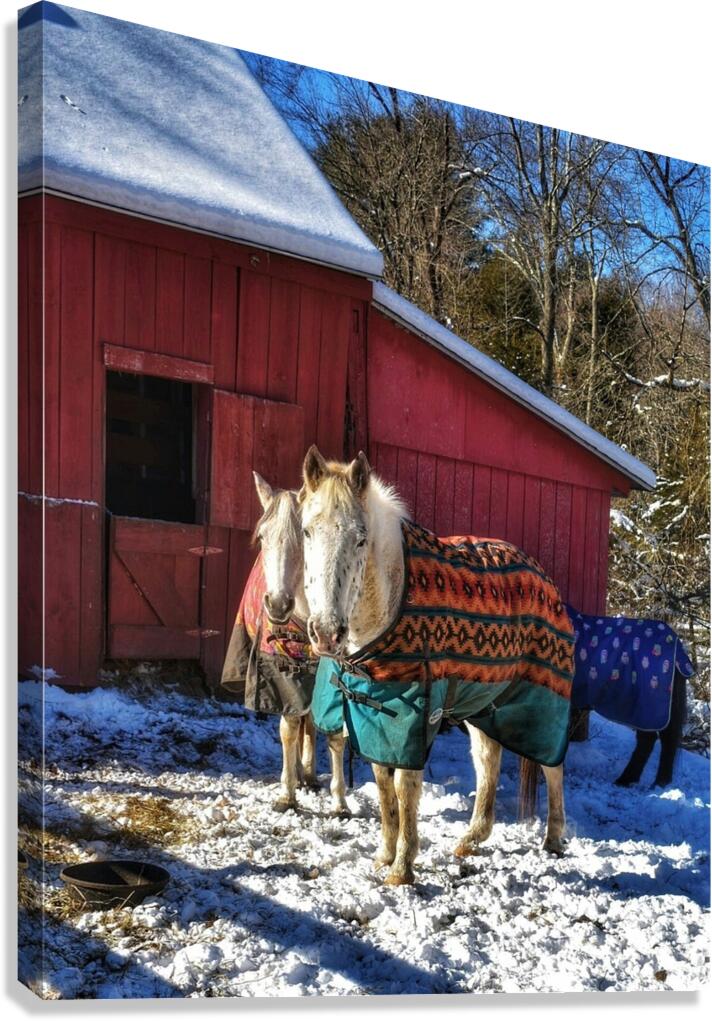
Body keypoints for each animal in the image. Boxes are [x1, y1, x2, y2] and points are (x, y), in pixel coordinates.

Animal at [221, 473, 349, 817]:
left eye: (303, 539)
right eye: (262, 537)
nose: (277, 605)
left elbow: (334, 734)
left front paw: (340, 801)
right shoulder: (283, 671)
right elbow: (289, 727)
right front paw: (287, 794)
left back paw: (309, 774)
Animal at [300, 446, 575, 886]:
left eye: (360, 538)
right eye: (308, 532)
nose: (326, 632)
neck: (392, 601)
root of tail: (546, 581)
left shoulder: (414, 715)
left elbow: (405, 787)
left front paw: (402, 868)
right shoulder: (374, 713)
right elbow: (382, 785)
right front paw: (384, 853)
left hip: (543, 702)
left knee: (553, 766)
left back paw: (552, 840)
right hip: (485, 705)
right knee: (488, 760)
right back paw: (472, 838)